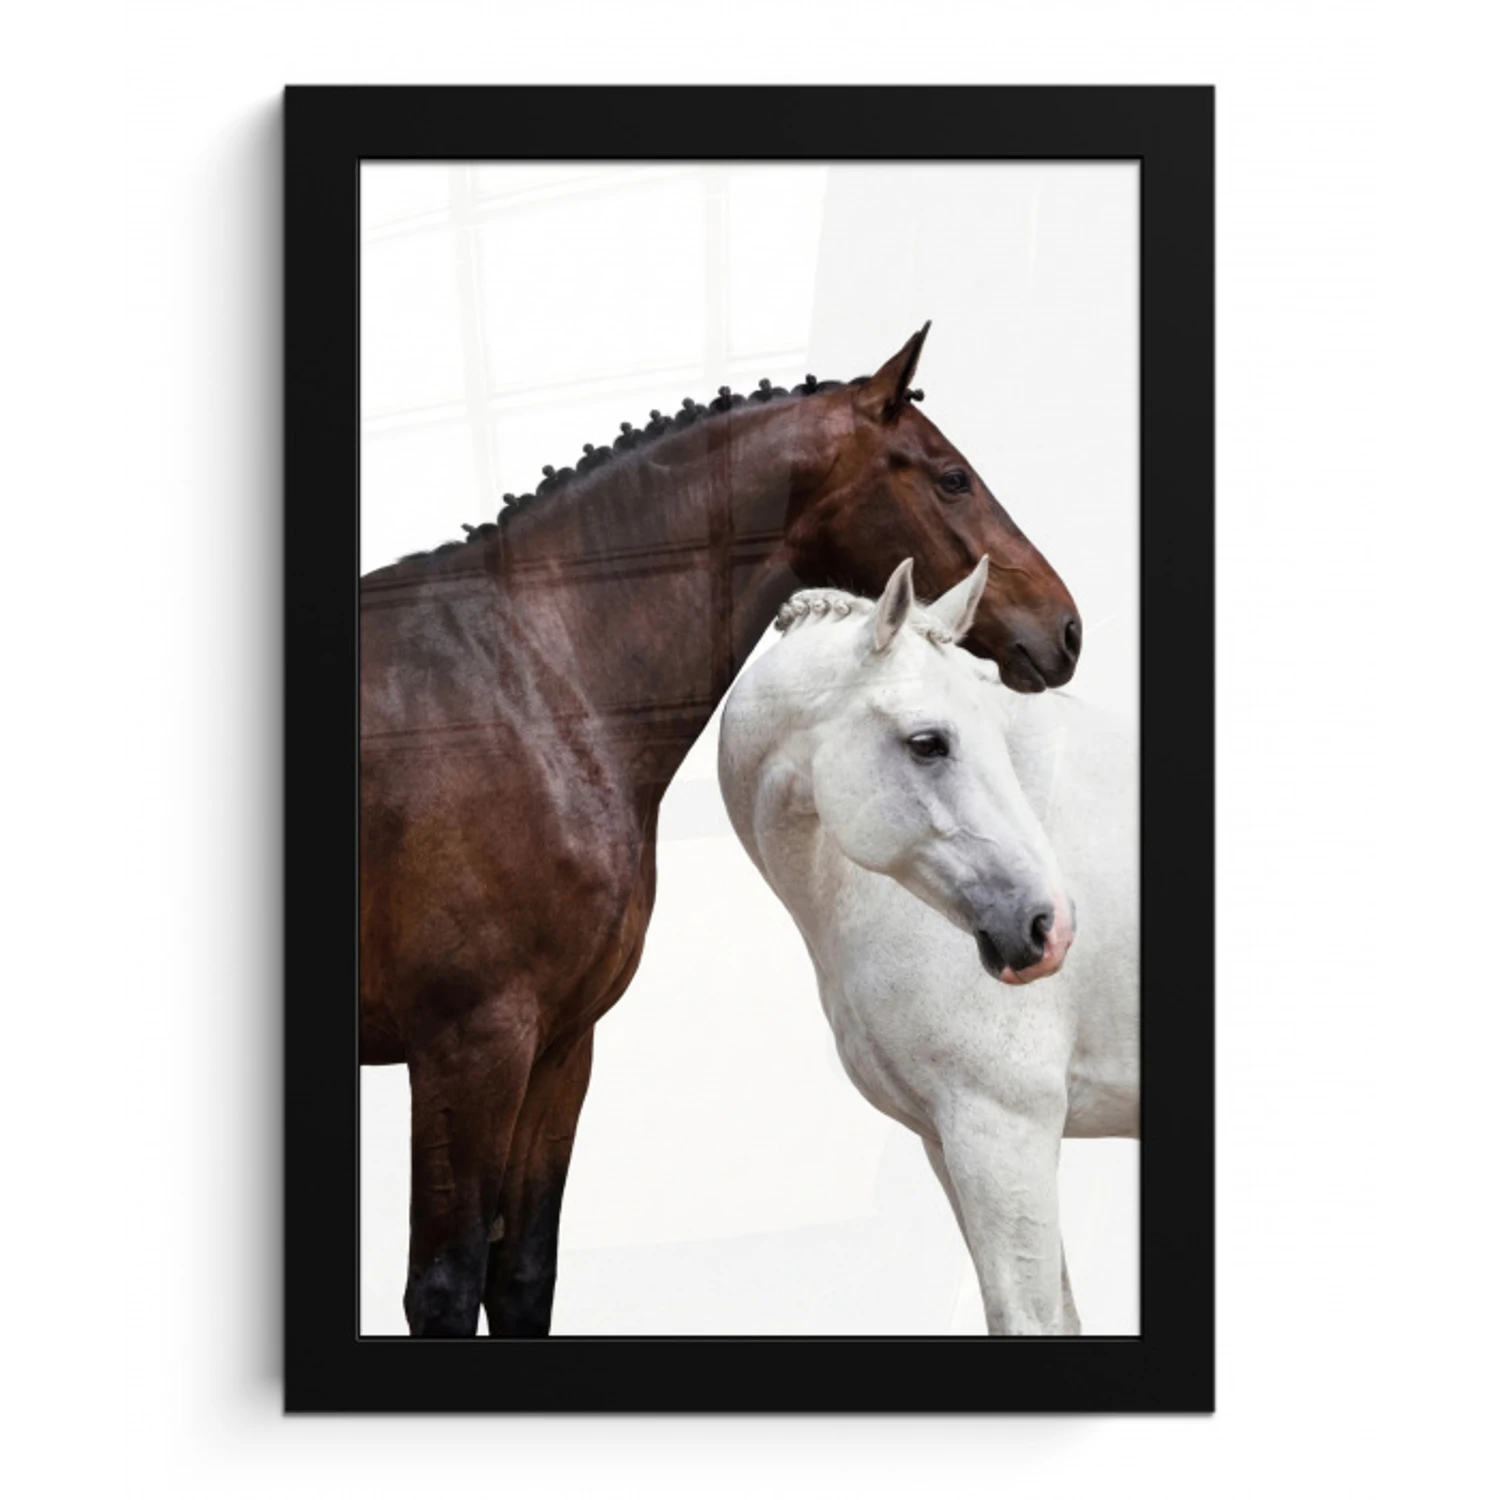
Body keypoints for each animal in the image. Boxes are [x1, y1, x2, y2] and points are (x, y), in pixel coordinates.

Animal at [360, 324, 1082, 1337]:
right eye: (951, 478)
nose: (1067, 628)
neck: (524, 684)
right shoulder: (467, 1047)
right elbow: (445, 1286)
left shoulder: (558, 1049)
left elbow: (524, 1275)